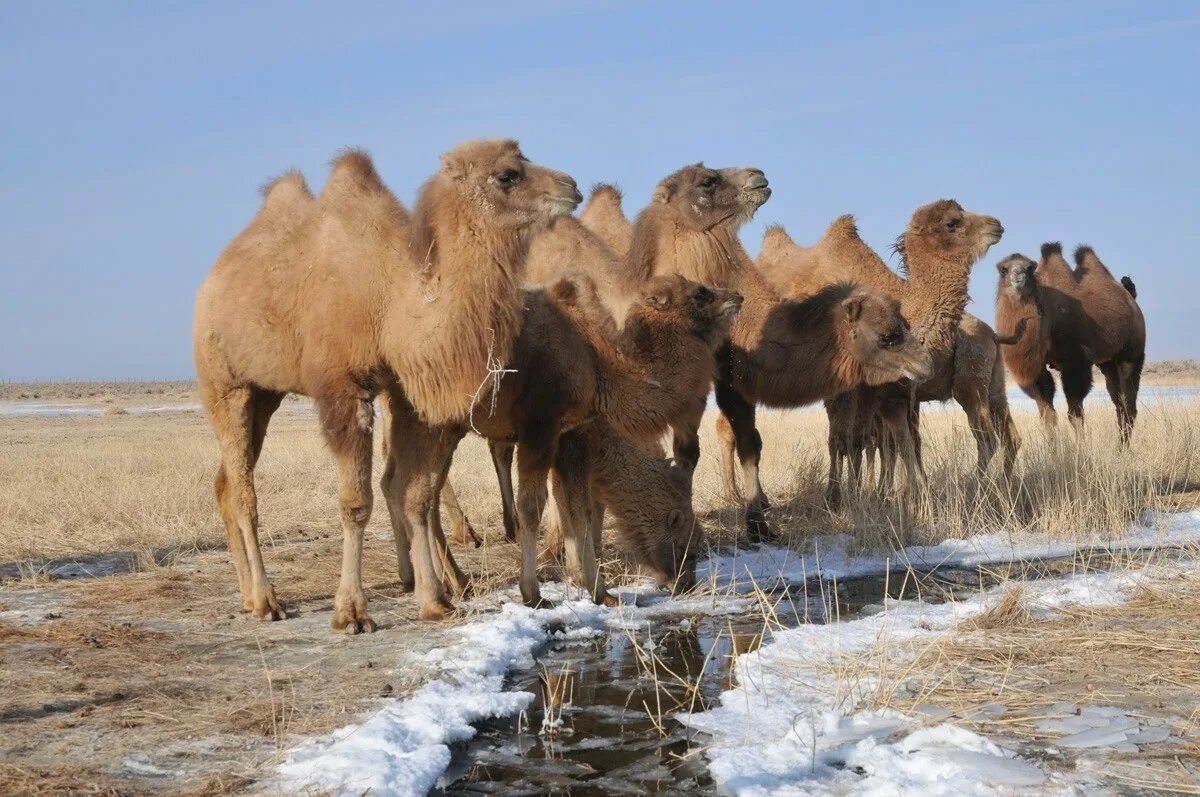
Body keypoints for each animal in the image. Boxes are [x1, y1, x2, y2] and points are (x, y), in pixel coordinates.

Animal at [193, 141, 580, 628]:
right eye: (507, 174)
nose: (571, 186)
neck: (389, 301)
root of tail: (212, 282)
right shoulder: (345, 388)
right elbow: (356, 503)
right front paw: (351, 612)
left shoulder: (405, 391)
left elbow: (414, 494)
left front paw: (435, 600)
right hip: (224, 383)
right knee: (244, 492)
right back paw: (266, 600)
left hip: (266, 394)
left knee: (225, 483)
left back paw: (248, 596)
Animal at [758, 213, 1012, 504]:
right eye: (952, 223)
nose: (996, 225)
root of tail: (993, 335)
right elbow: (849, 440)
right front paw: (844, 494)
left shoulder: (884, 394)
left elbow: (873, 441)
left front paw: (874, 493)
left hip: (977, 385)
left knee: (992, 436)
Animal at [993, 242, 1142, 441]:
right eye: (1004, 269)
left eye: (1029, 268)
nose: (1018, 275)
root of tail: (1130, 297)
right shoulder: (1037, 369)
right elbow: (1047, 413)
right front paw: (1053, 447)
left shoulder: (1076, 361)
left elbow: (1075, 413)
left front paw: (1081, 446)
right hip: (1108, 362)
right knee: (1118, 401)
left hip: (1132, 352)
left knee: (1128, 403)